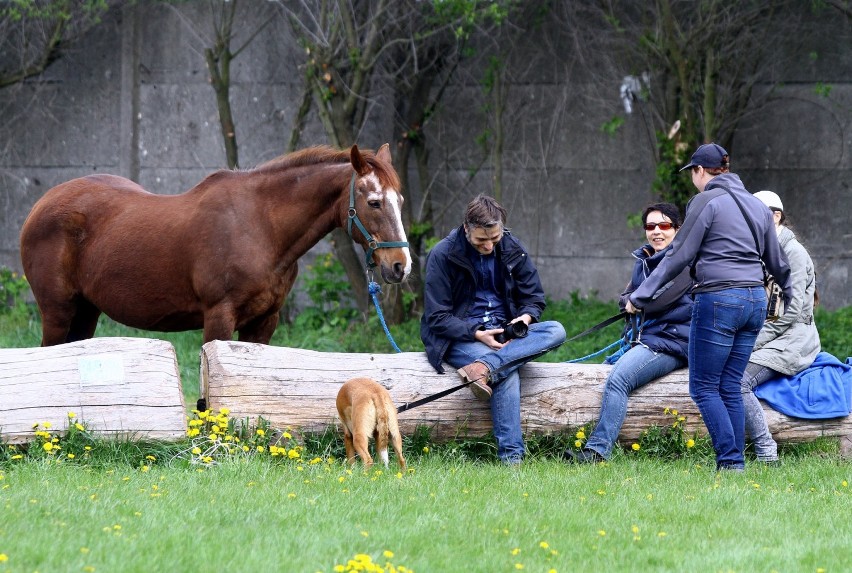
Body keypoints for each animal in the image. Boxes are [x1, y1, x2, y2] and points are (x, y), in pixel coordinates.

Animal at [20, 145, 412, 346]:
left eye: (401, 201)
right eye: (374, 202)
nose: (401, 266)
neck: (261, 227)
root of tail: (40, 205)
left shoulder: (263, 323)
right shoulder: (219, 317)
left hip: (86, 311)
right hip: (57, 312)